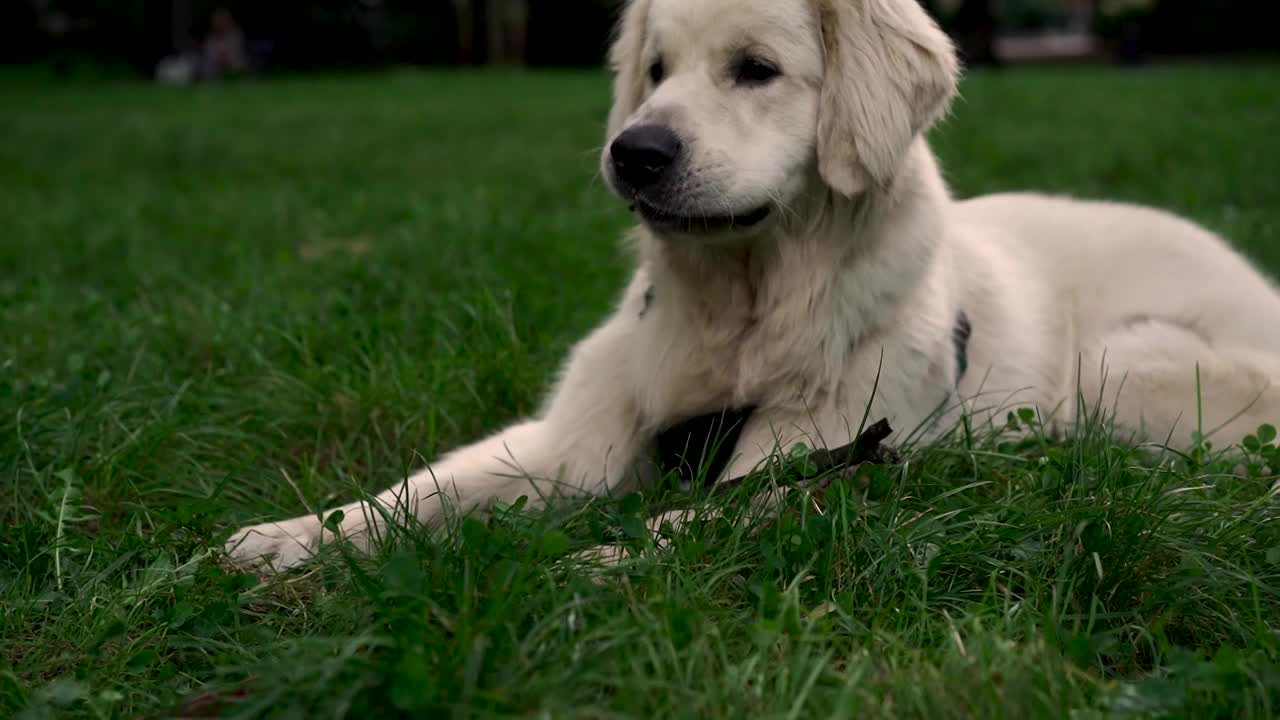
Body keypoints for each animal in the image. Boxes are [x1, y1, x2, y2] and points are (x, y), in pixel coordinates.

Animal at [227, 0, 1280, 571]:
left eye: (757, 70)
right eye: (654, 69)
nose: (634, 153)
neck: (742, 309)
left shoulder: (816, 463)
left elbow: (683, 529)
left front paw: (589, 567)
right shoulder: (571, 446)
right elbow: (426, 490)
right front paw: (294, 540)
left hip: (1120, 365)